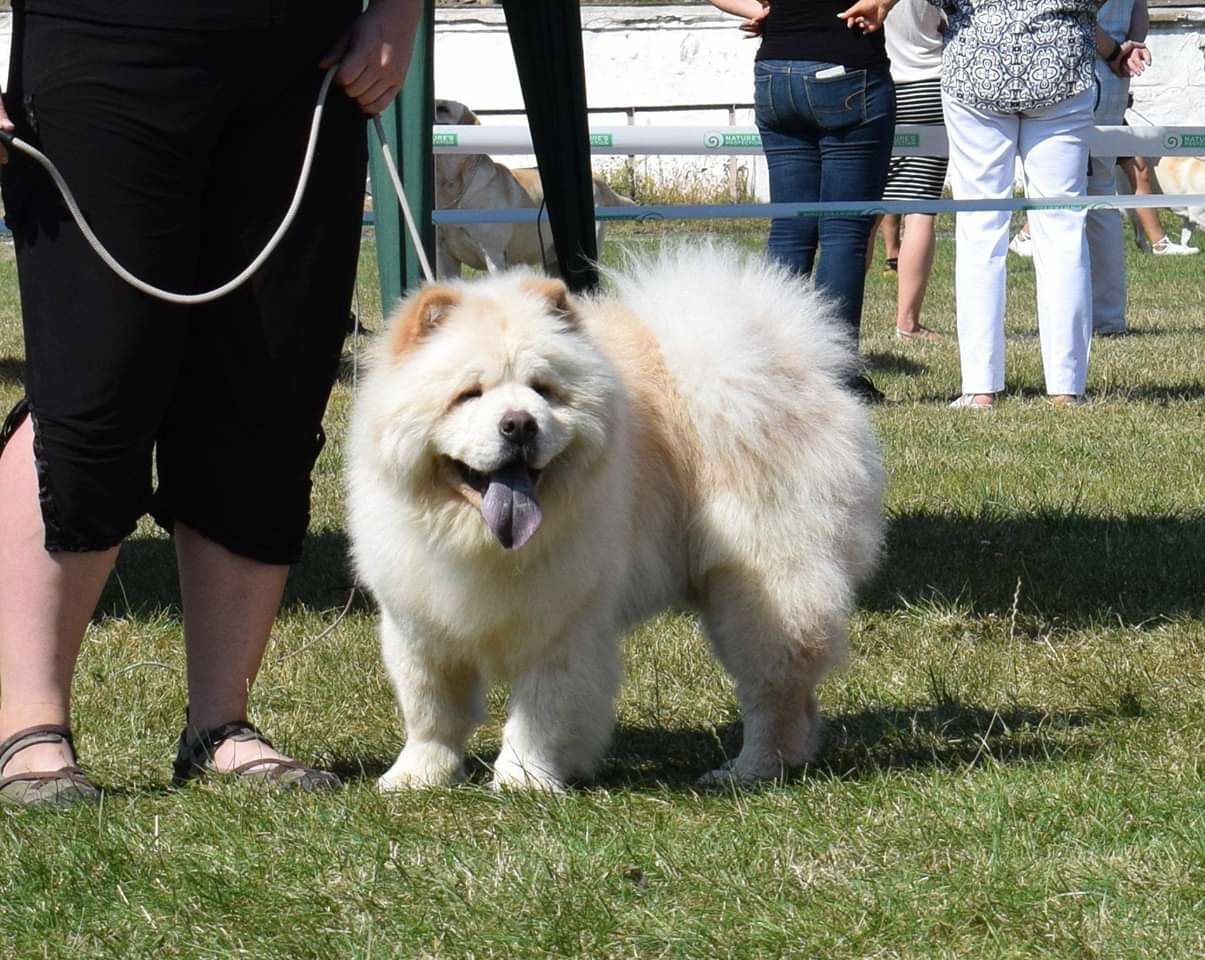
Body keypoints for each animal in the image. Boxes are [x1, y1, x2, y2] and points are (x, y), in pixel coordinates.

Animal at [349, 245, 886, 785]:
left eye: (543, 390)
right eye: (469, 394)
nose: (519, 424)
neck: (479, 542)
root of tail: (788, 364)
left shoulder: (563, 625)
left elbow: (542, 711)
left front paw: (524, 779)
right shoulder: (419, 624)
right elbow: (431, 709)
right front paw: (416, 777)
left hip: (762, 588)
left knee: (773, 690)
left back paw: (748, 770)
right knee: (798, 701)